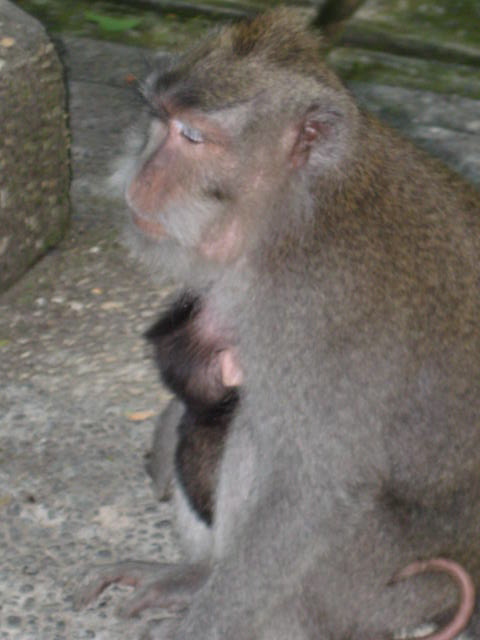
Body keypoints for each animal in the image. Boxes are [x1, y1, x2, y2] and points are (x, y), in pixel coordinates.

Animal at [75, 8, 480, 639]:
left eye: (193, 137)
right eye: (159, 123)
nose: (138, 177)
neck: (301, 208)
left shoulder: (323, 307)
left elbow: (310, 491)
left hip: (373, 587)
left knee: (259, 436)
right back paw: (197, 573)